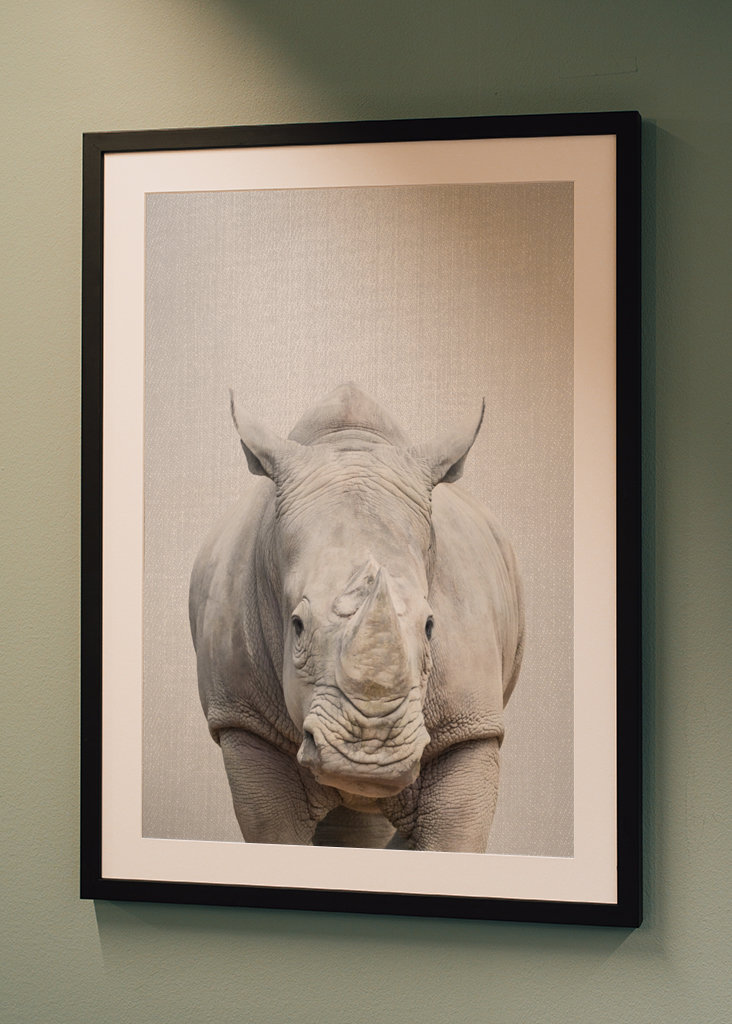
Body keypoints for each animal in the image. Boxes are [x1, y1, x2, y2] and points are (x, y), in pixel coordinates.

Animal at [189, 383, 524, 852]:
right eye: (297, 626)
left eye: (430, 627)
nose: (369, 755)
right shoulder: (244, 718)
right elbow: (274, 830)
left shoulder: (472, 727)